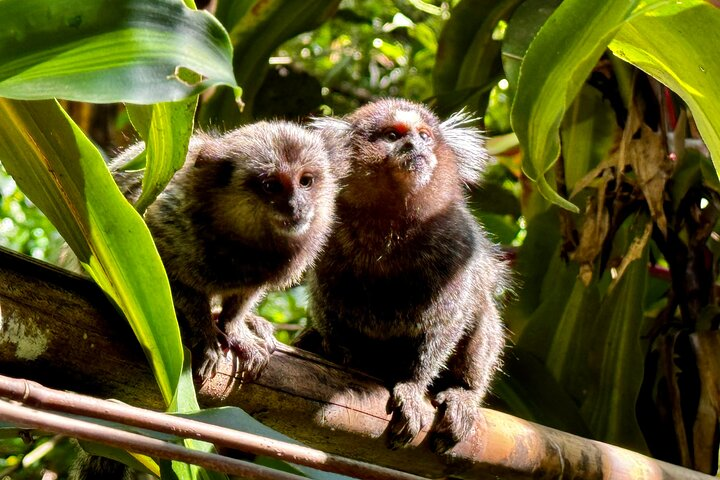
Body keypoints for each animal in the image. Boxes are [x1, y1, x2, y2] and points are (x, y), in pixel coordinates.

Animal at [295, 98, 509, 453]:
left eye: (424, 136)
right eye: (393, 135)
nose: (414, 146)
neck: (391, 226)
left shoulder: (458, 246)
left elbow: (447, 322)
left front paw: (412, 386)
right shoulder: (327, 237)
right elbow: (328, 304)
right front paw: (337, 351)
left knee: (482, 314)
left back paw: (464, 393)